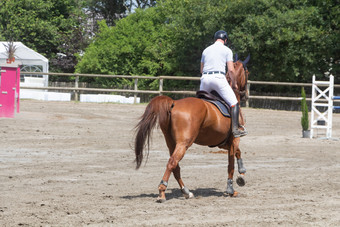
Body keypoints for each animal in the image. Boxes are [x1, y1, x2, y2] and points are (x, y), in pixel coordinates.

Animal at [133, 55, 250, 201]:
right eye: (247, 72)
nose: (246, 94)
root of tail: (173, 103)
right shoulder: (234, 139)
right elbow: (231, 164)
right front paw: (231, 189)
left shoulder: (223, 143)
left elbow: (238, 153)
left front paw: (242, 174)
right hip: (184, 143)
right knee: (172, 162)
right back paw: (162, 191)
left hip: (171, 143)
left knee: (175, 166)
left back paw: (186, 191)